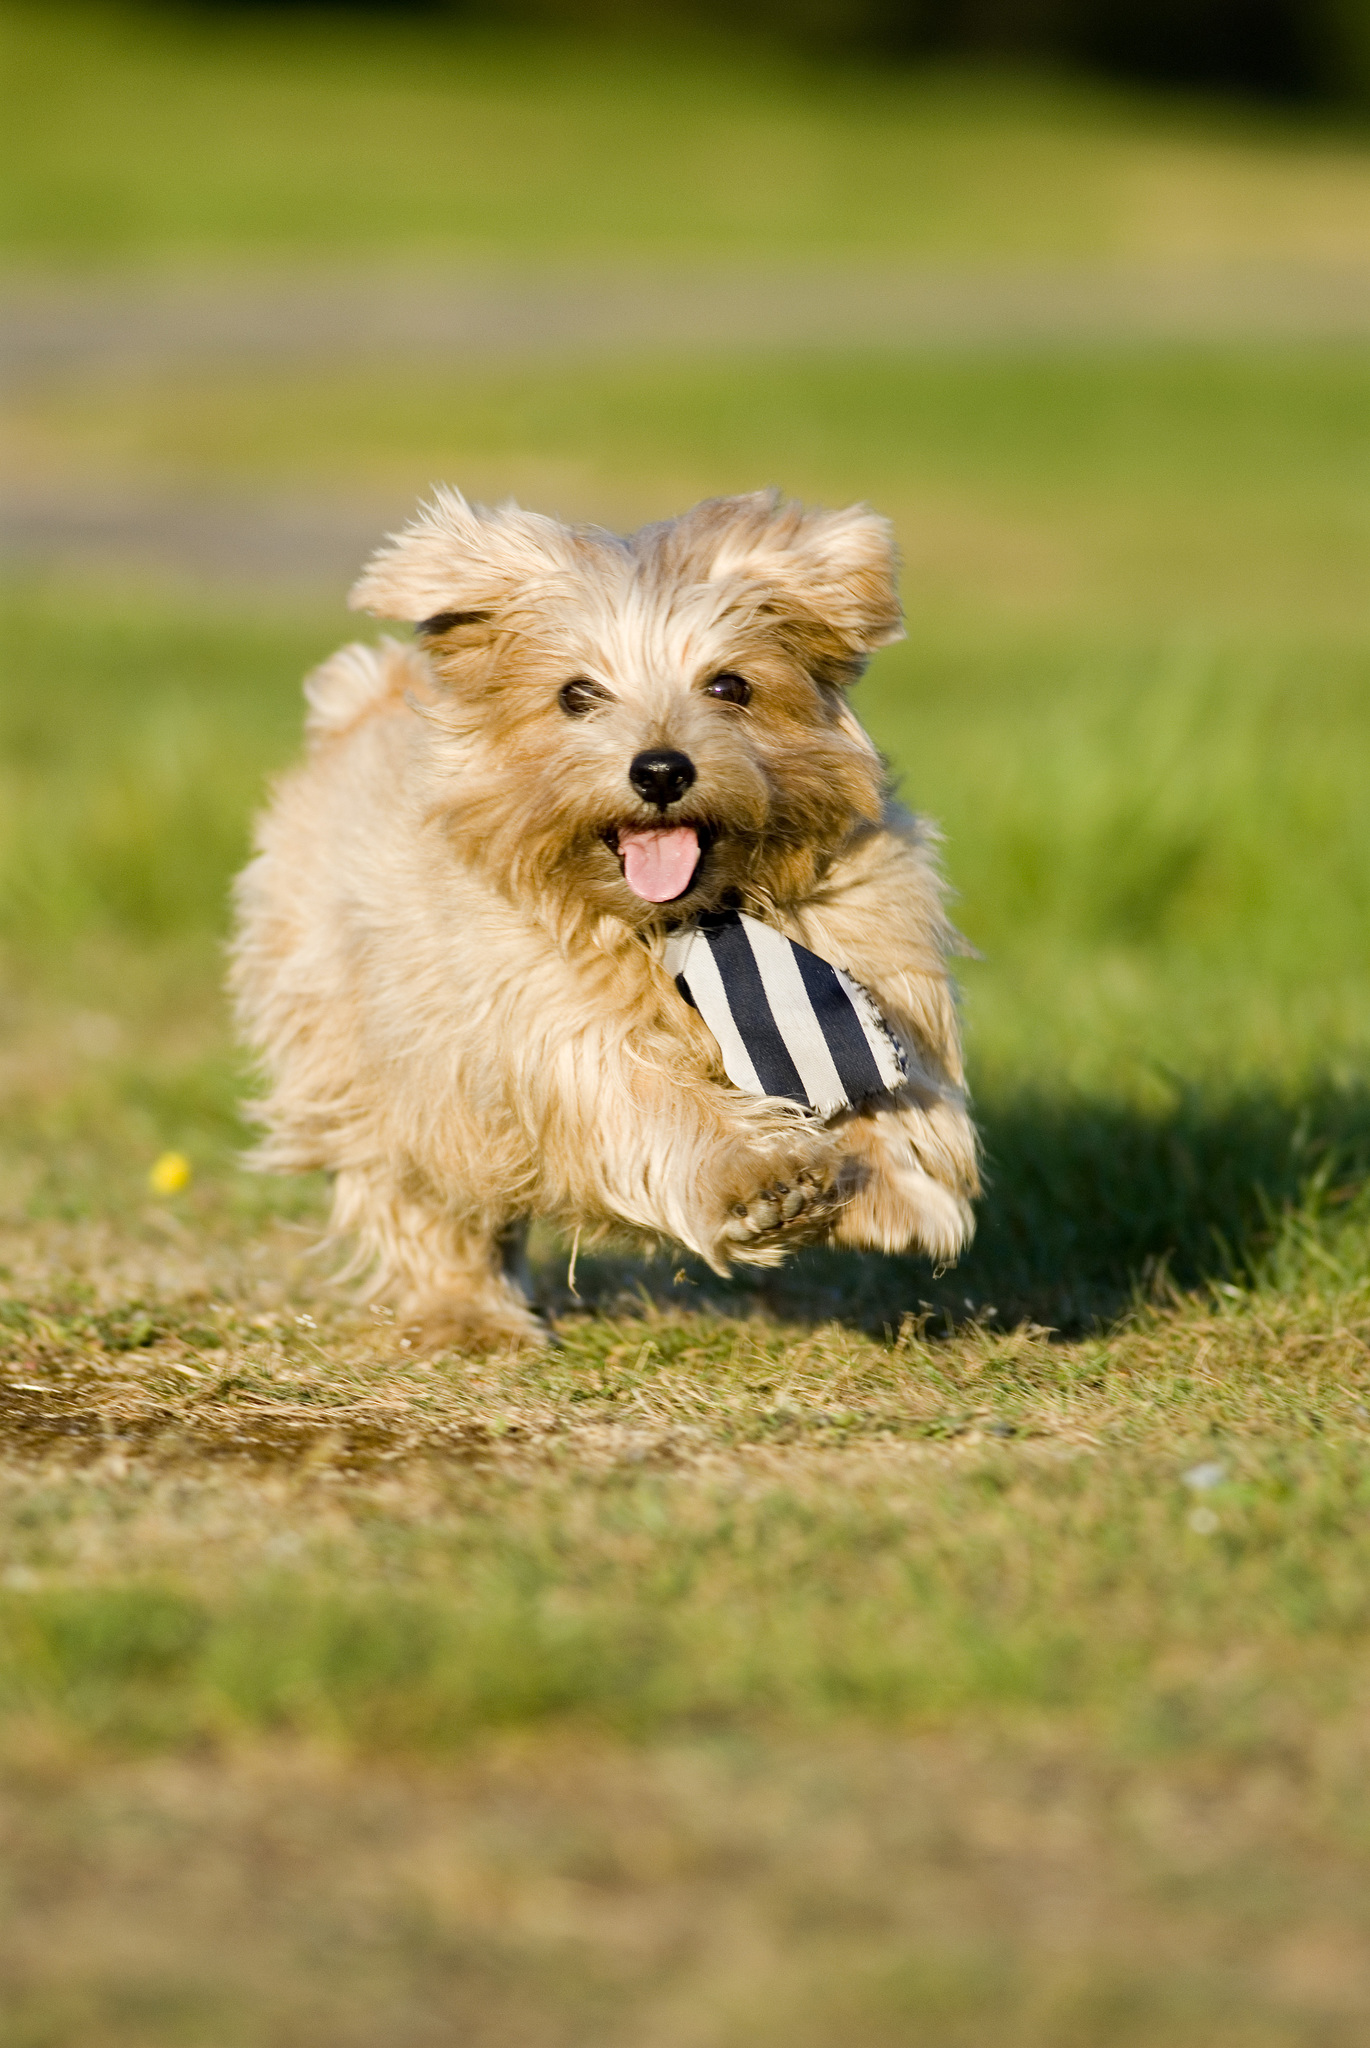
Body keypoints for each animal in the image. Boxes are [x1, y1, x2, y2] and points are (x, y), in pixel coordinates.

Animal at [237, 489, 982, 1351]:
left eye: (730, 687)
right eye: (577, 694)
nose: (660, 768)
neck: (689, 928)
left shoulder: (874, 958)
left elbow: (886, 1091)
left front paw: (893, 1191)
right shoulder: (544, 1025)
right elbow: (647, 1097)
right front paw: (759, 1179)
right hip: (376, 1057)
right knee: (421, 1189)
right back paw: (468, 1314)